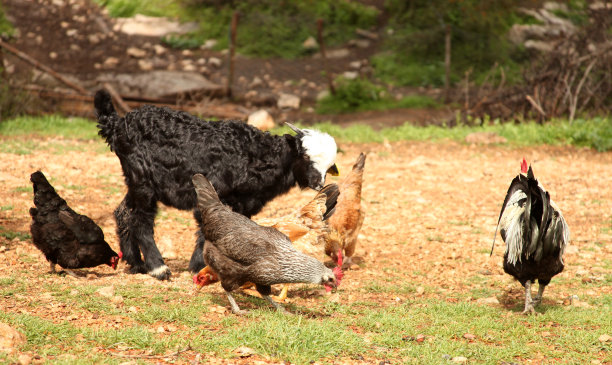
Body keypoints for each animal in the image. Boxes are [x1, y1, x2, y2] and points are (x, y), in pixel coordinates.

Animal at [94, 90, 340, 278]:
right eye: (305, 156)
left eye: (329, 166)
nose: (319, 183)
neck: (256, 156)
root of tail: (117, 125)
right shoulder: (213, 193)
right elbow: (207, 227)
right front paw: (197, 266)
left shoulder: (244, 203)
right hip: (143, 181)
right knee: (141, 220)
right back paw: (158, 268)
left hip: (135, 182)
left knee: (123, 212)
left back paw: (136, 263)